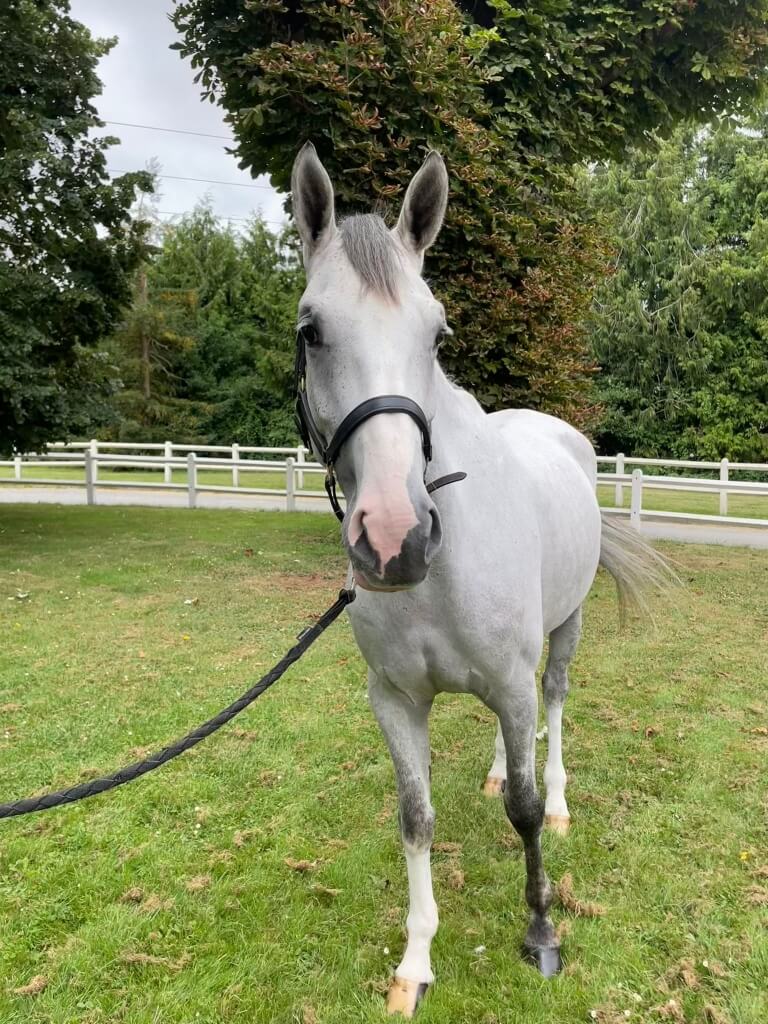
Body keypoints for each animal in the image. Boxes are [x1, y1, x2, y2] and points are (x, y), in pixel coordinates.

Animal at [290, 143, 669, 1017]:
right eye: (311, 330)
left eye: (437, 334)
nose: (394, 539)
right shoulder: (396, 700)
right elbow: (416, 818)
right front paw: (415, 962)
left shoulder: (511, 677)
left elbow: (524, 814)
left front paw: (542, 932)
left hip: (563, 633)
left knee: (552, 704)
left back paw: (558, 797)